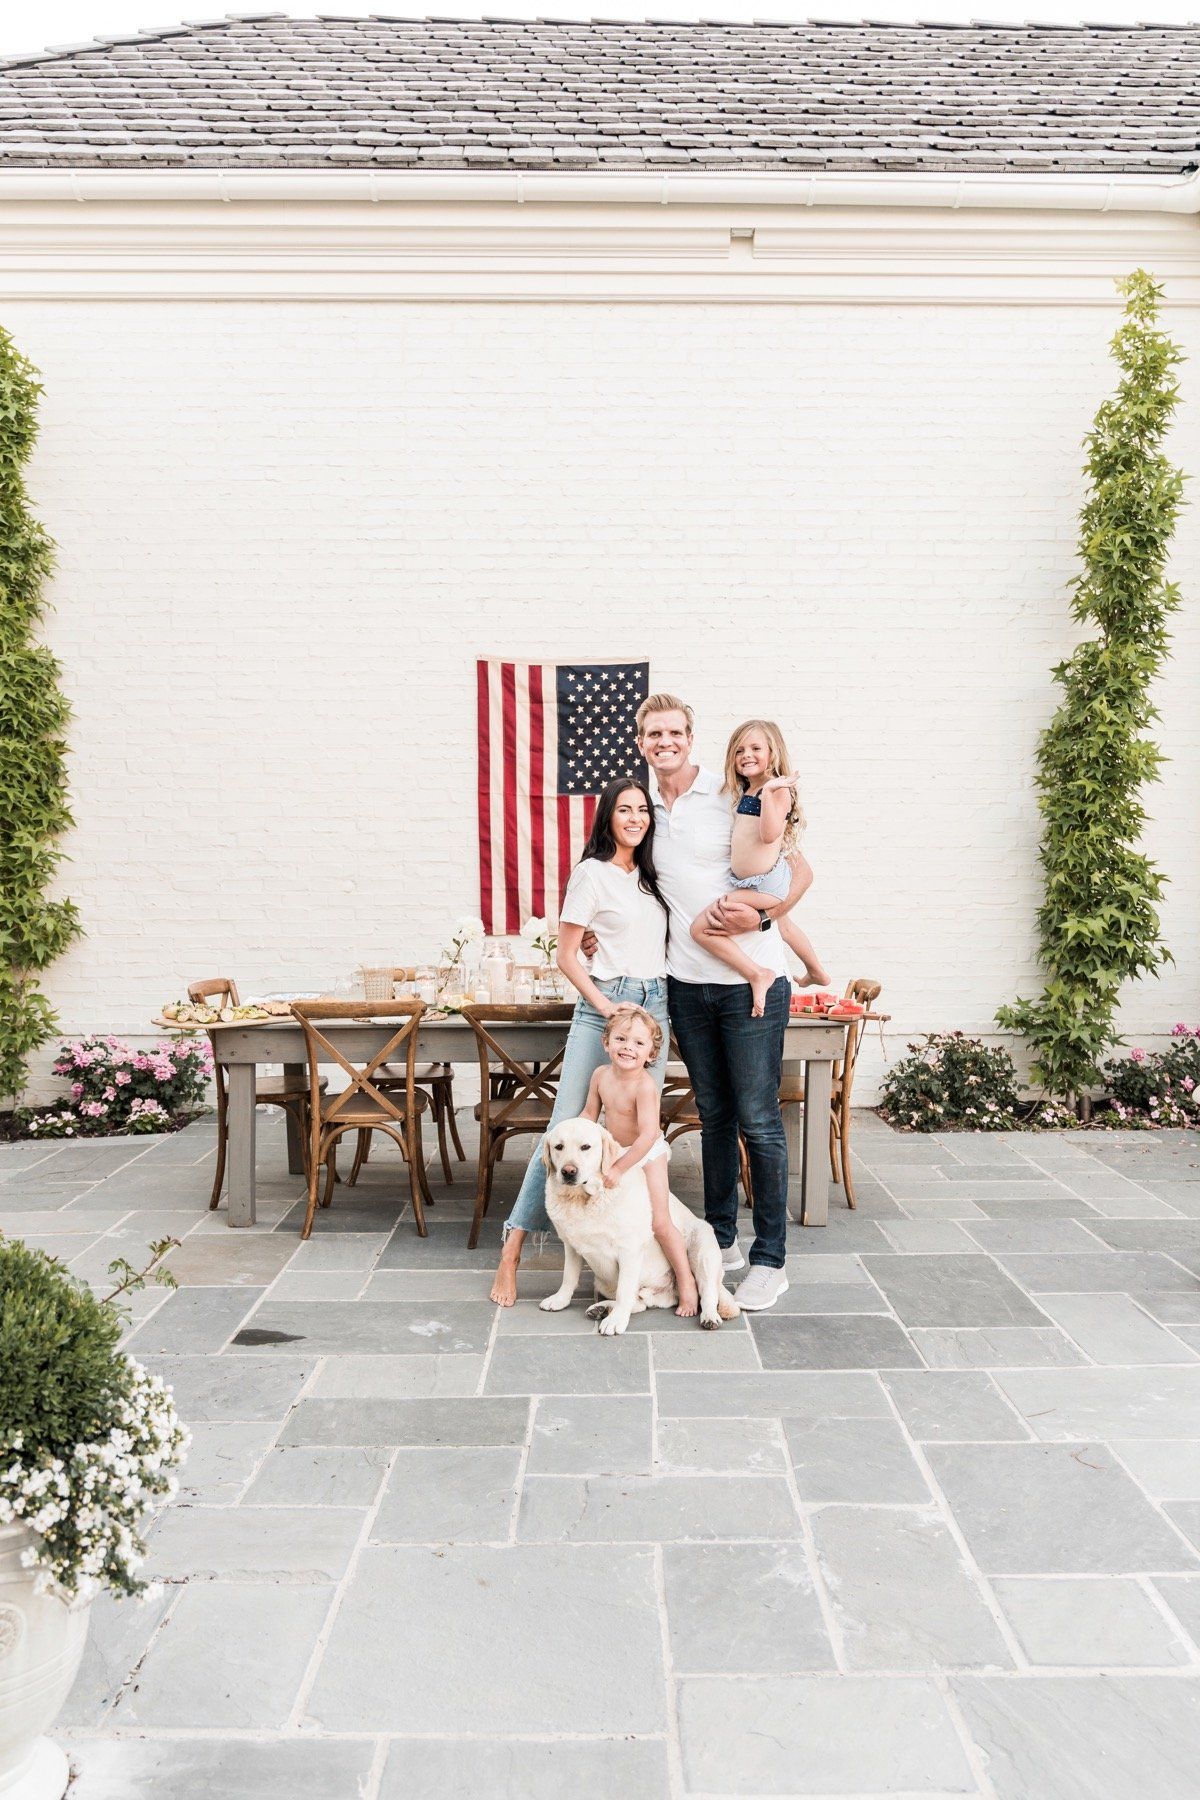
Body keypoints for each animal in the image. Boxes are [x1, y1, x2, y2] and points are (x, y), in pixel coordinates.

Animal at [536, 1108, 741, 1339]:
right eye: (558, 1147)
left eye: (585, 1147)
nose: (568, 1171)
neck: (584, 1199)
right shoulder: (570, 1245)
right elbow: (569, 1277)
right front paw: (560, 1299)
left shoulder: (630, 1250)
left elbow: (624, 1290)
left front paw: (616, 1321)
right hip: (604, 1281)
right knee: (640, 1303)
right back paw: (602, 1308)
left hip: (702, 1248)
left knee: (706, 1291)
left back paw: (709, 1316)